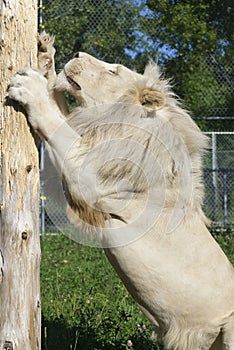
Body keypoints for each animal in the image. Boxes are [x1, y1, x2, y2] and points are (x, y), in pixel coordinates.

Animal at [8, 32, 233, 350]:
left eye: (113, 70)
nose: (76, 53)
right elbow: (60, 107)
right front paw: (45, 53)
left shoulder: (93, 181)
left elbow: (56, 122)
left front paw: (30, 87)